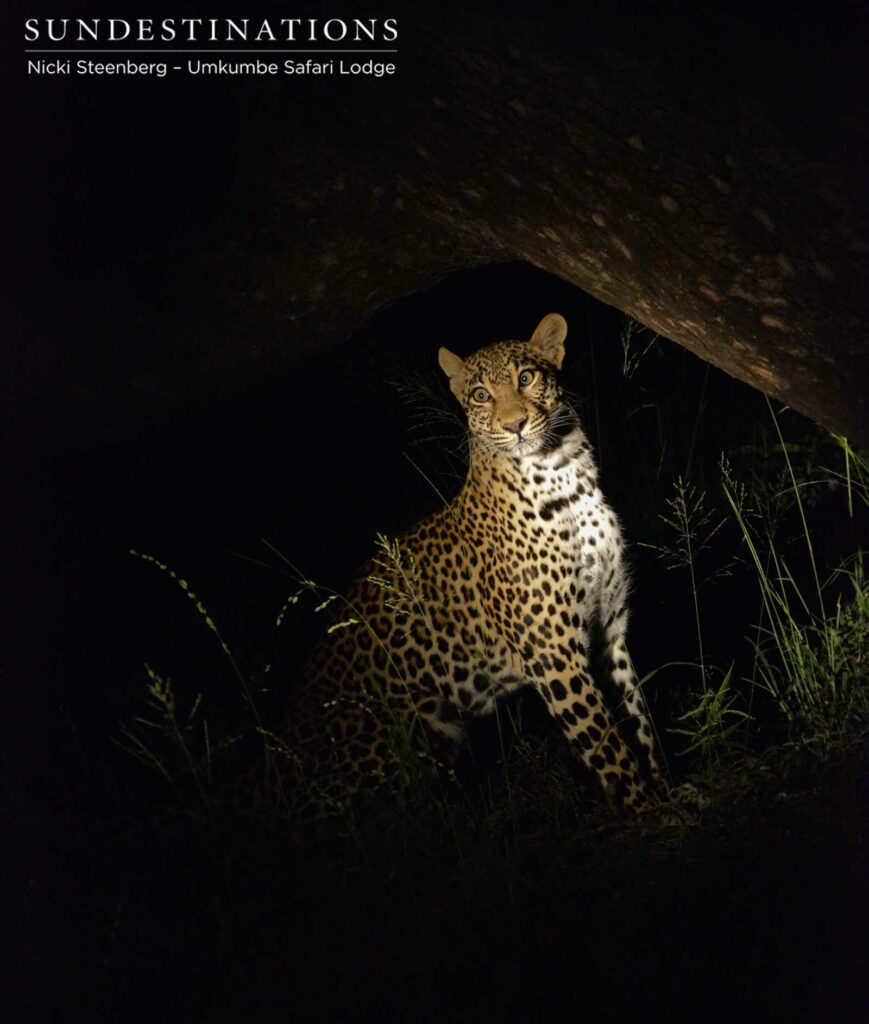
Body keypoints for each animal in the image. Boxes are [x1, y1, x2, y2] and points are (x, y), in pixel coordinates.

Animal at [277, 313, 668, 819]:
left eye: (527, 377)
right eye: (481, 394)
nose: (515, 424)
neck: (566, 479)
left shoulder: (609, 631)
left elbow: (639, 724)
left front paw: (669, 795)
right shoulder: (554, 653)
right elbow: (608, 746)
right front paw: (644, 810)